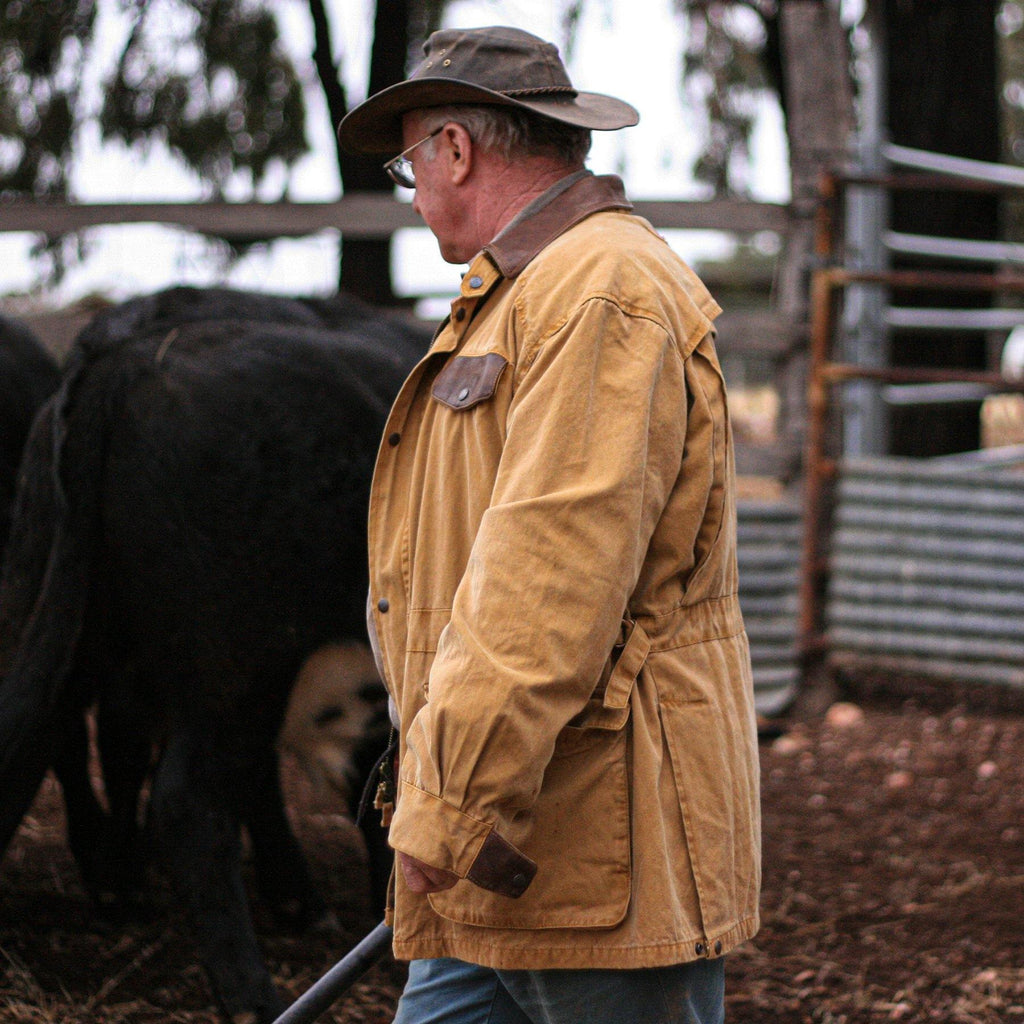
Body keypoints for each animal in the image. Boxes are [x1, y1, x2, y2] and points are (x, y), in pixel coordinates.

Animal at [0, 288, 428, 1024]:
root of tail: (121, 358)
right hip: (236, 666)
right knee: (186, 804)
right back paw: (252, 991)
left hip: (45, 614)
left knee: (31, 740)